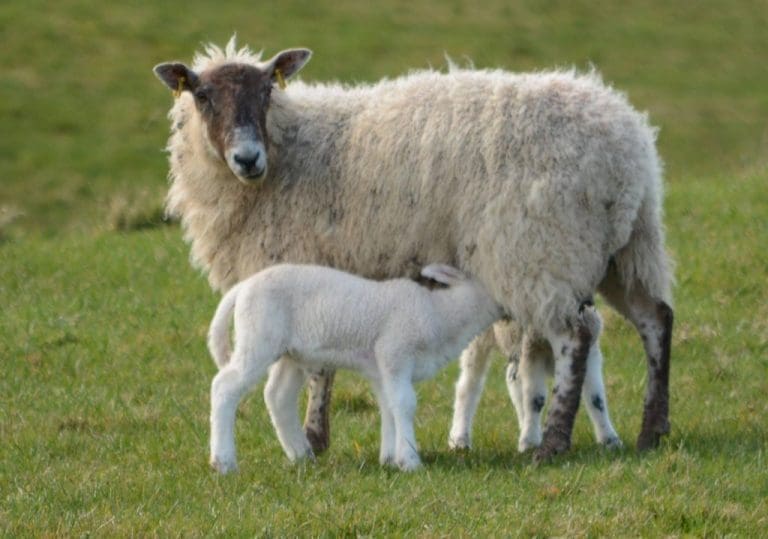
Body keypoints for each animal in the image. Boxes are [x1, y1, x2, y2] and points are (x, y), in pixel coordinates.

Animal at [206, 263, 503, 473]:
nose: (507, 309)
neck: (440, 314)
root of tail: (242, 288)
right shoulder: (395, 352)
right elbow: (405, 404)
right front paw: (410, 460)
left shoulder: (380, 367)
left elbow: (389, 407)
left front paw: (389, 458)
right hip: (258, 336)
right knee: (224, 387)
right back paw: (223, 461)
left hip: (291, 353)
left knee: (278, 396)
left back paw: (301, 455)